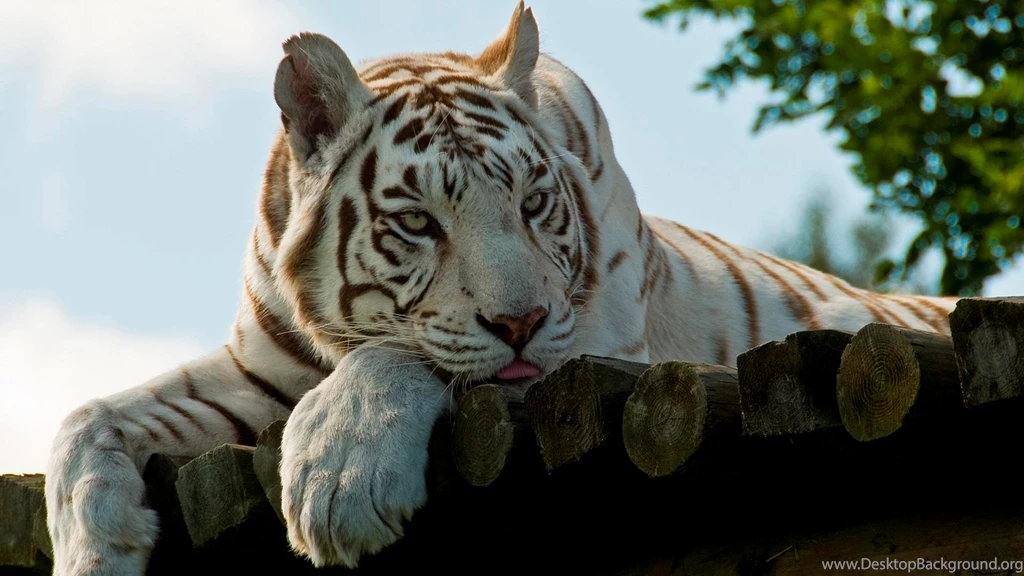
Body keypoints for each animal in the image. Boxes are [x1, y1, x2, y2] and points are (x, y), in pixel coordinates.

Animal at [44, 3, 959, 574]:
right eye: (419, 223)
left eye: (531, 203)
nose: (520, 320)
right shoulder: (257, 370)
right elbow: (86, 419)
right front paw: (95, 550)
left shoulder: (588, 351)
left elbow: (408, 358)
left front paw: (337, 479)